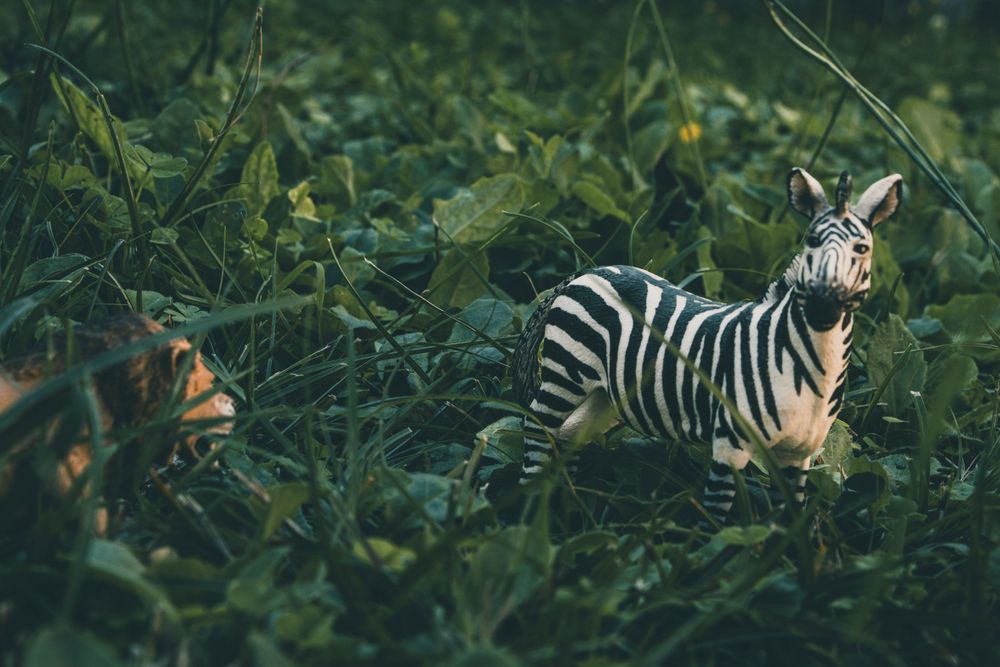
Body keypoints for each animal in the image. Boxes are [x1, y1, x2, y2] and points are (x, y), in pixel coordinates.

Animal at [511, 168, 902, 525]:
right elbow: (715, 513)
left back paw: (568, 505)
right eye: (812, 242)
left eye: (862, 249)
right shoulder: (730, 440)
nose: (822, 307)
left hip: (604, 394)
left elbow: (789, 518)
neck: (807, 366)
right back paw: (527, 506)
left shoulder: (799, 453)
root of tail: (586, 273)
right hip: (568, 373)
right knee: (538, 423)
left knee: (571, 432)